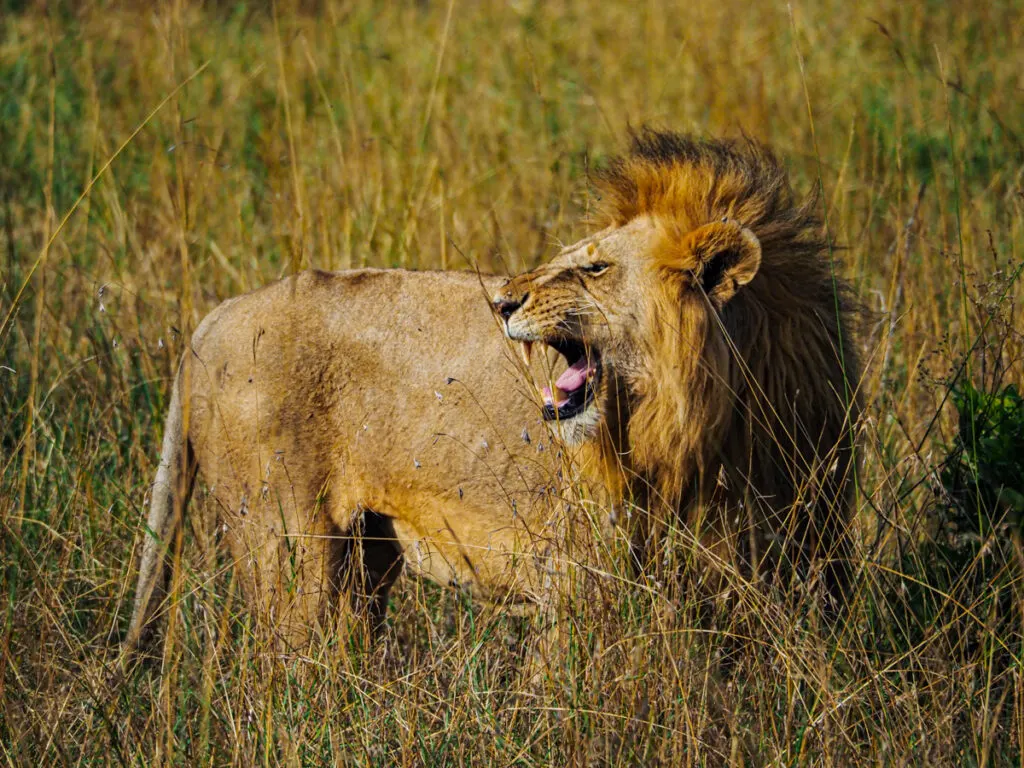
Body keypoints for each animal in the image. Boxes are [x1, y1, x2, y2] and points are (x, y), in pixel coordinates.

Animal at [128, 128, 860, 655]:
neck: (706, 423)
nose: (502, 301)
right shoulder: (577, 573)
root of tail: (211, 320)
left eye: (595, 267)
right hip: (288, 545)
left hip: (365, 554)